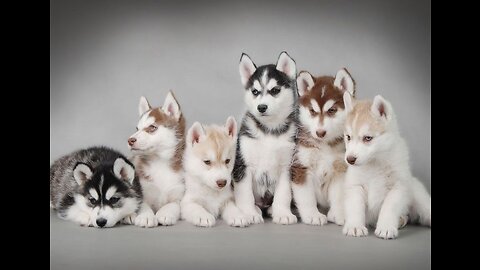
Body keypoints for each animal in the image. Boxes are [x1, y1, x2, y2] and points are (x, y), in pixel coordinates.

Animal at [126, 91, 187, 228]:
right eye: (137, 129)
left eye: (152, 127)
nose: (130, 140)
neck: (160, 162)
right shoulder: (142, 192)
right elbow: (143, 205)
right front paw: (146, 216)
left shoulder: (179, 195)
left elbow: (173, 205)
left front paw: (165, 213)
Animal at [233, 51, 298, 225]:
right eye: (255, 92)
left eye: (275, 90)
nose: (261, 107)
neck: (269, 130)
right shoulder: (243, 165)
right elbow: (245, 194)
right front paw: (248, 213)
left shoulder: (287, 166)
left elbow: (283, 194)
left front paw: (283, 213)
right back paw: (256, 209)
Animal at [288, 68, 356, 225]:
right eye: (312, 111)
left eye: (332, 110)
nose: (320, 133)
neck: (324, 145)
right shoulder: (301, 166)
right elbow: (306, 197)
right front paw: (312, 215)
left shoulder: (340, 169)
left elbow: (338, 195)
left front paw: (339, 214)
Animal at [342, 94, 432, 239]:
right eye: (348, 137)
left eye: (368, 138)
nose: (350, 159)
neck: (374, 163)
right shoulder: (355, 186)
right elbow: (355, 207)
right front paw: (355, 226)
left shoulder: (398, 188)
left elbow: (389, 208)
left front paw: (386, 227)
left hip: (420, 199)